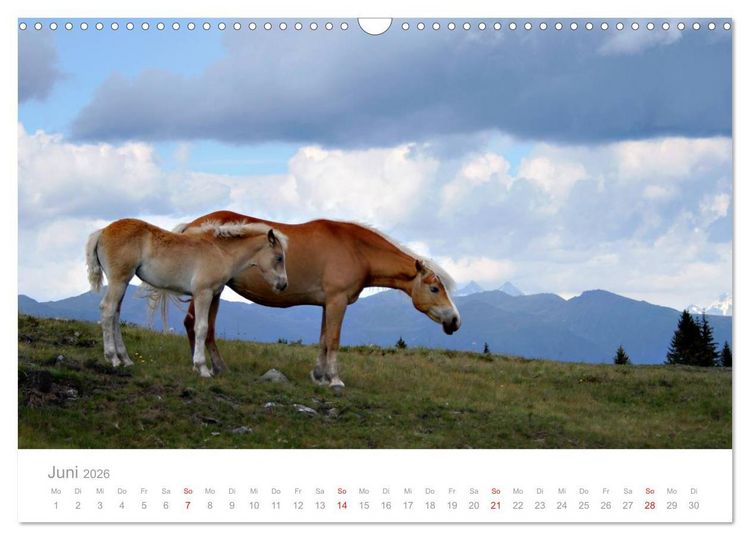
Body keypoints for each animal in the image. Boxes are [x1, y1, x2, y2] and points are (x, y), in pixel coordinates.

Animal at [85, 218, 289, 377]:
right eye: (279, 257)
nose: (283, 284)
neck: (220, 251)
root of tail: (102, 231)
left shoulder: (213, 295)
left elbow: (206, 328)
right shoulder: (203, 293)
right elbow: (201, 328)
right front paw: (202, 368)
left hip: (122, 282)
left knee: (115, 314)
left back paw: (125, 359)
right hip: (119, 280)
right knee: (107, 310)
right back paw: (113, 358)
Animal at [166, 211, 461, 388]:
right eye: (435, 288)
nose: (455, 320)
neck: (356, 249)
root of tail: (191, 226)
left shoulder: (326, 304)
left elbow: (323, 340)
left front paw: (319, 375)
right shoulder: (337, 302)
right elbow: (334, 340)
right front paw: (335, 380)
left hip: (215, 291)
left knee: (205, 328)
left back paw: (216, 367)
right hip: (209, 291)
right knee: (195, 325)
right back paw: (206, 367)